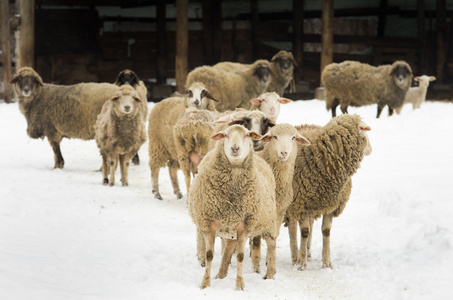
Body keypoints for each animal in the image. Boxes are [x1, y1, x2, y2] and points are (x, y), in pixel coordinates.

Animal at [185, 123, 278, 290]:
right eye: (225, 135)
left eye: (247, 135)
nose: (235, 148)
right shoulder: (209, 224)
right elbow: (209, 255)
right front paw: (205, 283)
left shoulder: (244, 226)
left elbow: (240, 256)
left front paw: (239, 285)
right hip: (229, 229)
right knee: (228, 248)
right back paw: (221, 275)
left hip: (268, 222)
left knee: (272, 244)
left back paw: (270, 275)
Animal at [286, 114, 370, 270]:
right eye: (364, 129)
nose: (370, 150)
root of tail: (303, 125)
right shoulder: (301, 202)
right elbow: (304, 231)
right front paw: (302, 264)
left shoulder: (332, 203)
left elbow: (326, 231)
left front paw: (326, 262)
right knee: (293, 228)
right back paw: (295, 256)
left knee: (310, 225)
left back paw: (307, 252)